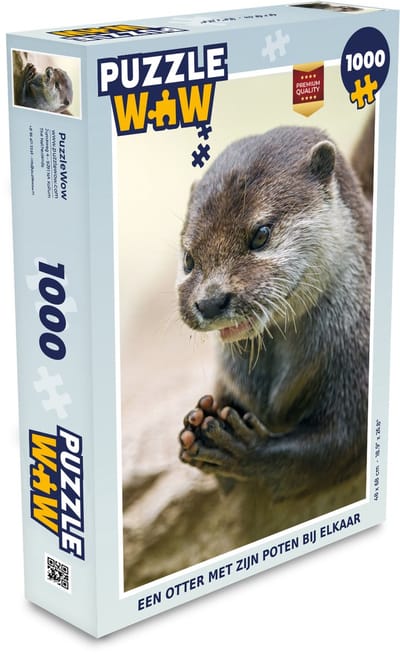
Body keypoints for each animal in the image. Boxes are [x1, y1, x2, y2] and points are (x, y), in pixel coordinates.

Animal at [177, 124, 371, 513]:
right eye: (189, 259)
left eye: (261, 234)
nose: (210, 301)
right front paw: (197, 422)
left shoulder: (359, 359)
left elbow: (341, 442)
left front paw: (244, 451)